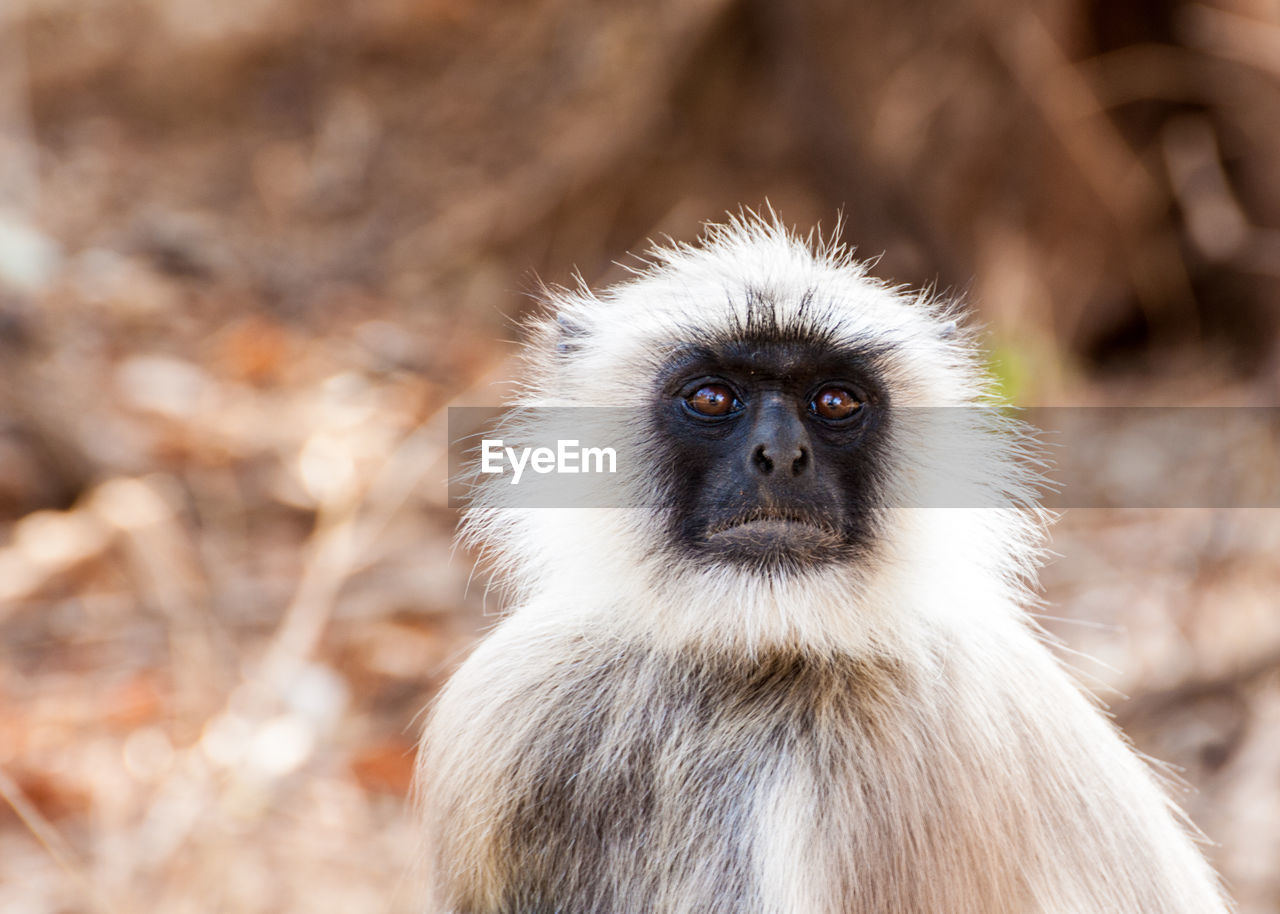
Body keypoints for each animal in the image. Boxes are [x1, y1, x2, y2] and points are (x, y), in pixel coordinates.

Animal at [414, 215, 1233, 911]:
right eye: (713, 397)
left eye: (835, 402)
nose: (780, 456)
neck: (747, 658)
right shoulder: (511, 703)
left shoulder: (885, 772)